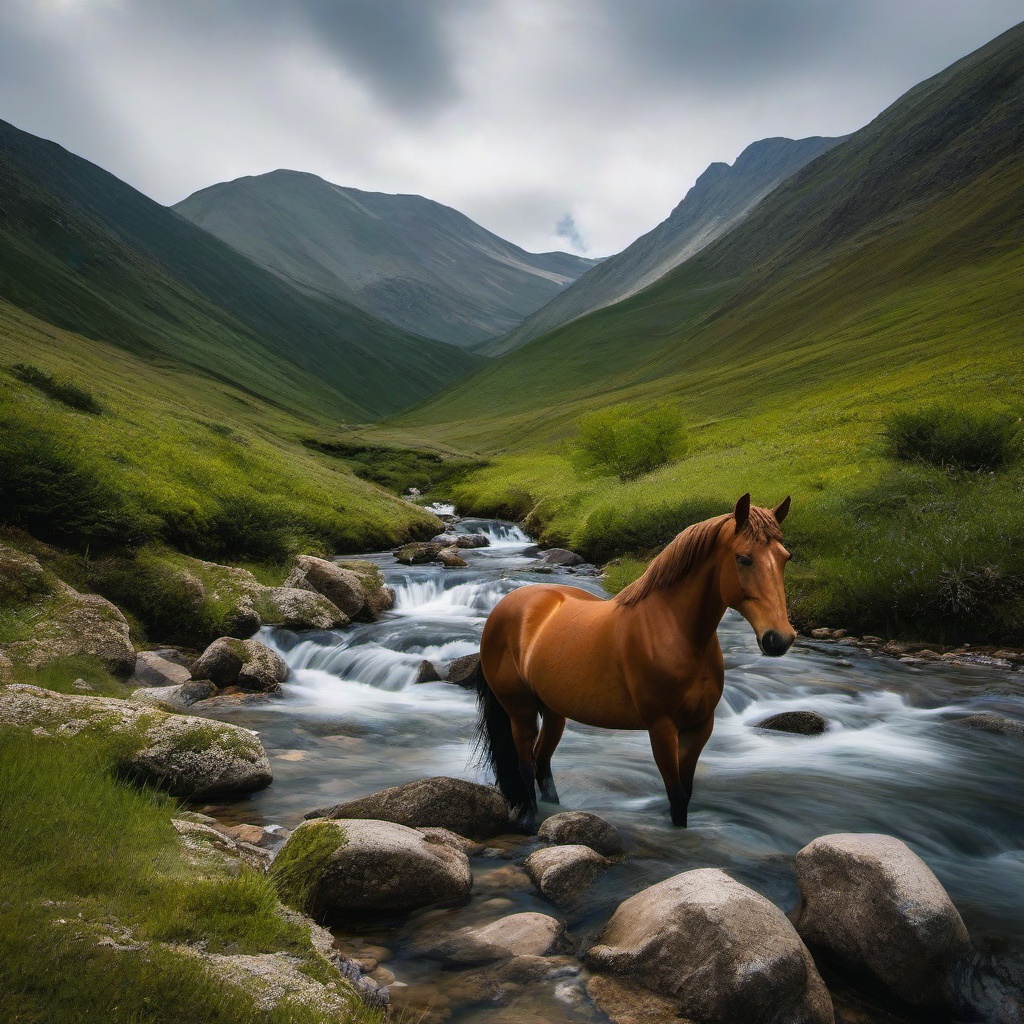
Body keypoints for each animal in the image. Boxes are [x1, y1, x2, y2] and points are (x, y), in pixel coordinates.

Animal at [475, 491, 794, 827]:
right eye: (743, 558)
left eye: (785, 557)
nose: (779, 638)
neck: (672, 629)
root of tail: (503, 607)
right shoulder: (662, 728)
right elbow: (676, 796)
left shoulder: (699, 727)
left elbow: (686, 792)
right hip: (520, 710)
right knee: (525, 765)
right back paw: (531, 819)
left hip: (553, 711)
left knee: (542, 762)